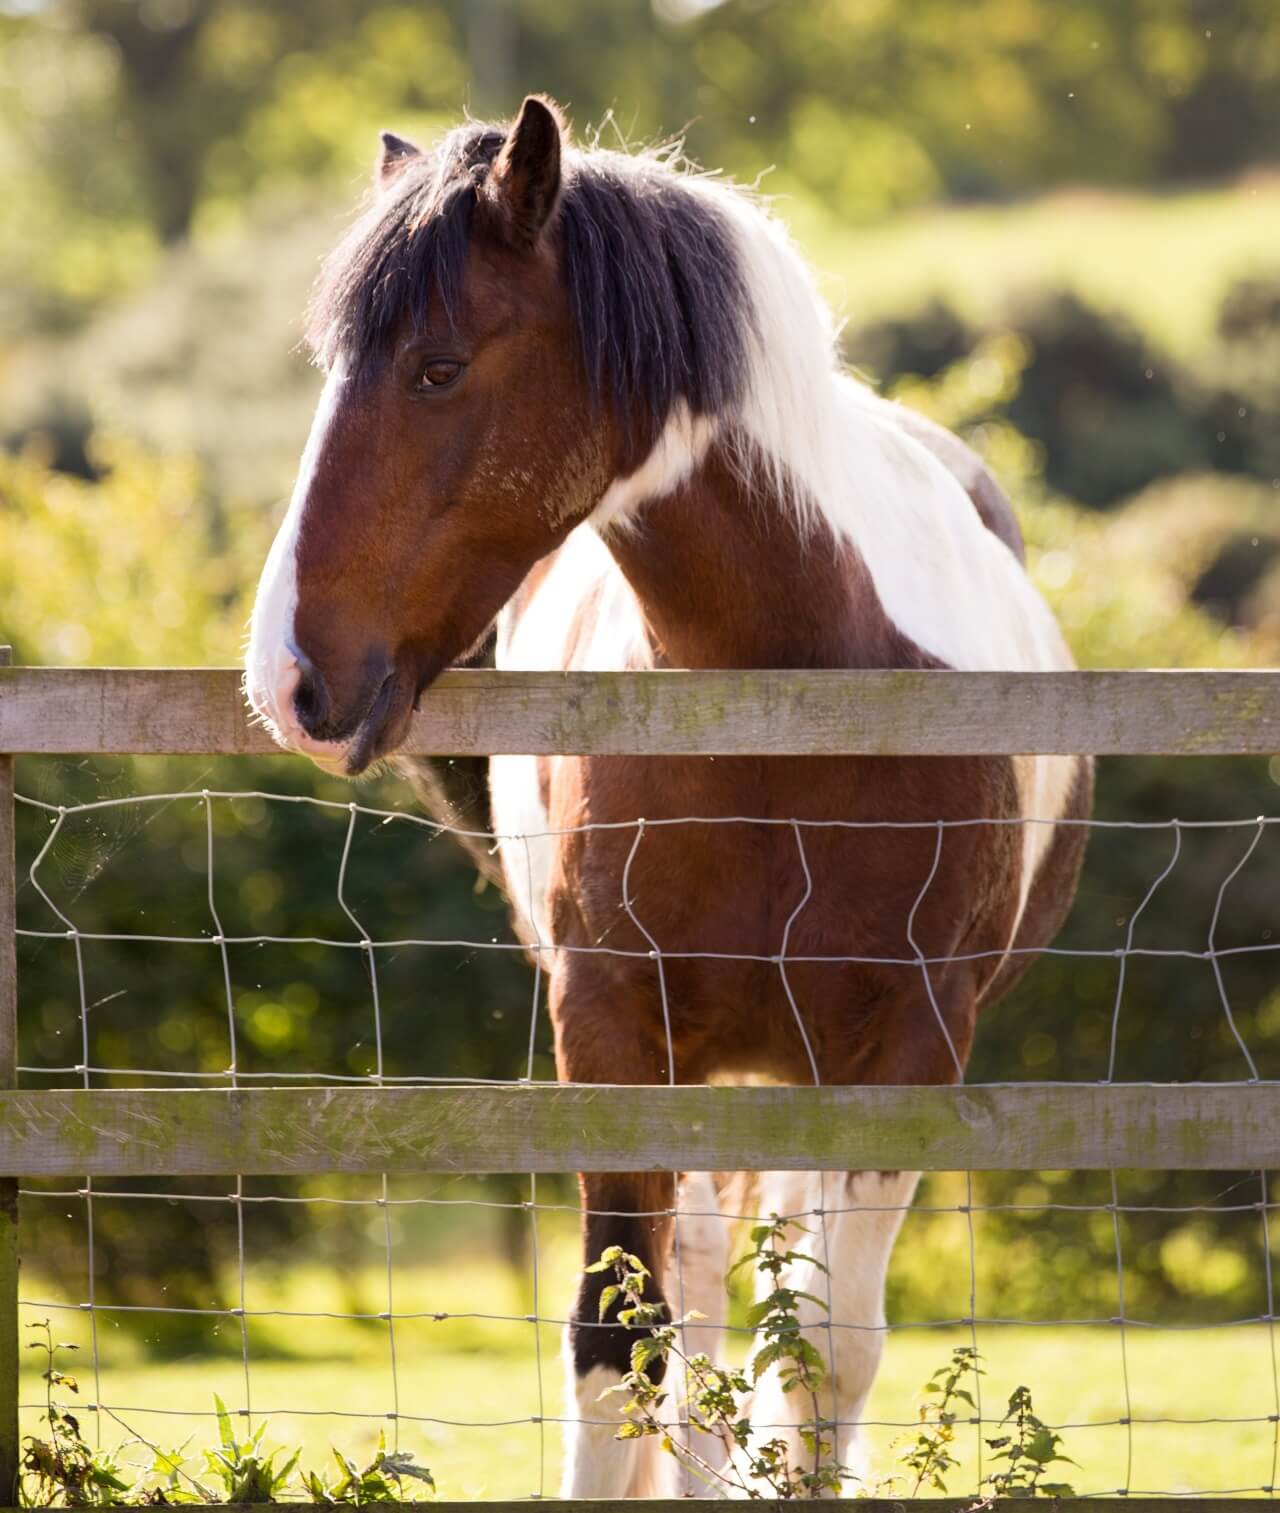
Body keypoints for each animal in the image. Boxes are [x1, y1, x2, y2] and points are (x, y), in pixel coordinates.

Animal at [244, 95, 1092, 1498]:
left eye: (435, 367)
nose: (289, 679)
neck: (792, 696)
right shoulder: (610, 1029)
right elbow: (618, 1349)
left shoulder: (908, 1047)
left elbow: (822, 1360)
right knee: (693, 1308)